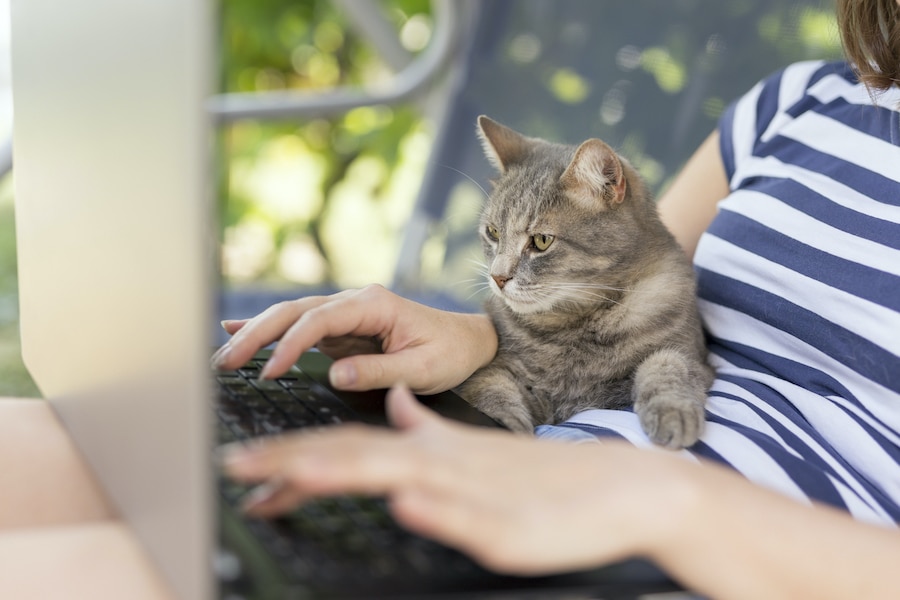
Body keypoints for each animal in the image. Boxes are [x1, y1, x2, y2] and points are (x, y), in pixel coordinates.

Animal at [460, 115, 712, 448]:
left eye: (541, 241)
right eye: (493, 232)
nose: (498, 277)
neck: (576, 324)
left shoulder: (694, 356)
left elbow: (669, 364)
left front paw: (674, 410)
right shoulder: (497, 366)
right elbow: (491, 391)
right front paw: (503, 426)